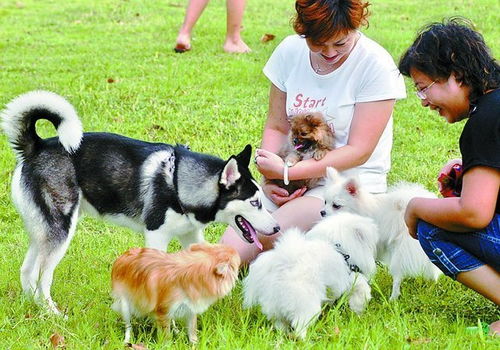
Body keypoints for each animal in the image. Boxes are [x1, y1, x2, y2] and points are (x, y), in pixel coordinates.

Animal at [0, 91, 280, 314]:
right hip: (61, 231)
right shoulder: (156, 235)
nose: (277, 227)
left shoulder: (191, 236)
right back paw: (52, 313)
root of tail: (37, 146)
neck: (177, 181)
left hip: (44, 230)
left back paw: (32, 307)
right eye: (255, 203)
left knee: (27, 270)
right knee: (42, 277)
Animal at [111, 243, 240, 344]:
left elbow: (192, 330)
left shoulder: (191, 308)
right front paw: (167, 345)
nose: (236, 249)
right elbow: (166, 334)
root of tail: (121, 257)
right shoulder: (163, 311)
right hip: (124, 304)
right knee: (128, 325)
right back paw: (127, 340)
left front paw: (195, 344)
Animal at [242, 215, 376, 340]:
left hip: (276, 311)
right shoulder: (354, 281)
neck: (339, 249)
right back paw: (307, 340)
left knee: (280, 325)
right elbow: (361, 296)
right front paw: (358, 314)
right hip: (308, 307)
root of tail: (284, 266)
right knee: (299, 328)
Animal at [320, 168, 442, 300]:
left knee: (398, 275)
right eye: (325, 202)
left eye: (336, 206)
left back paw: (393, 297)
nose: (322, 212)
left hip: (401, 251)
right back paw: (433, 284)